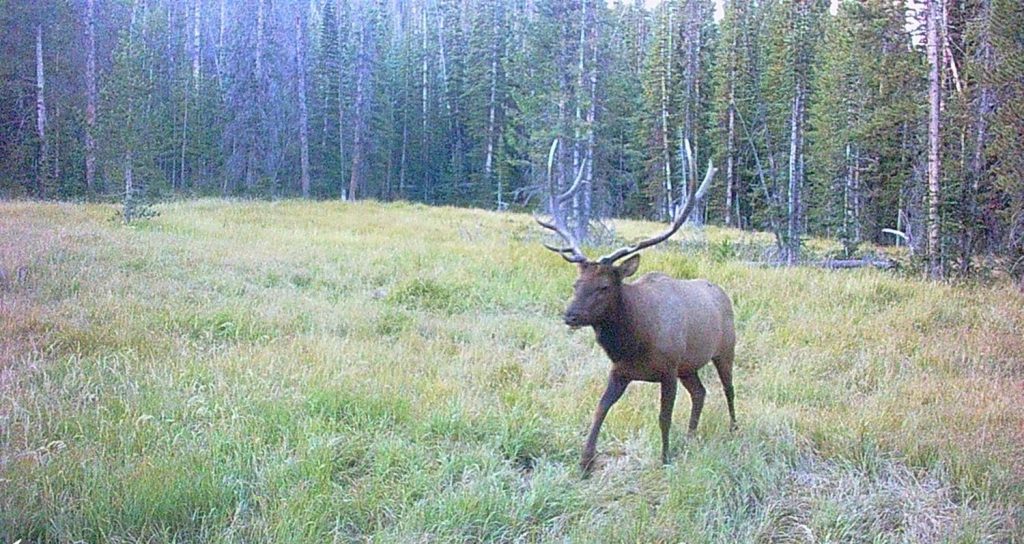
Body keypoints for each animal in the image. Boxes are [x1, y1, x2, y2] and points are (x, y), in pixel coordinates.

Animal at [536, 148, 735, 473]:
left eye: (604, 286)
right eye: (576, 283)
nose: (570, 315)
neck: (636, 341)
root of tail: (722, 293)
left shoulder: (668, 370)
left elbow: (664, 418)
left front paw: (665, 458)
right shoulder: (620, 371)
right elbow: (600, 408)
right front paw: (585, 461)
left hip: (724, 350)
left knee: (728, 389)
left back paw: (733, 428)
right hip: (689, 366)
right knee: (700, 392)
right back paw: (691, 436)